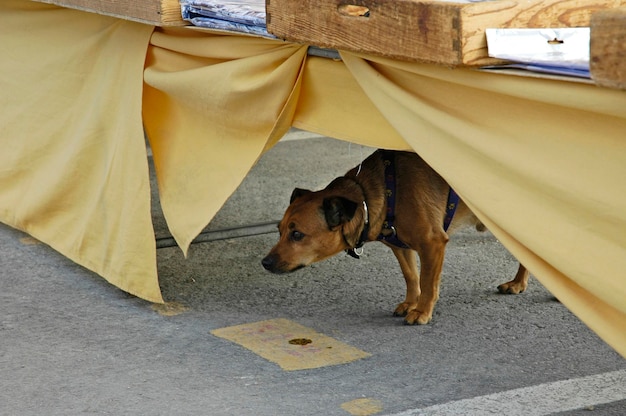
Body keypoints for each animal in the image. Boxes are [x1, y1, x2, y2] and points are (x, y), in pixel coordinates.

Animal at [260, 150, 528, 324]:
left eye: (297, 234)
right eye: (279, 230)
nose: (265, 263)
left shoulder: (432, 243)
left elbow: (428, 281)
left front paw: (422, 311)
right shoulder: (400, 246)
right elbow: (411, 276)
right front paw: (411, 302)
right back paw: (518, 283)